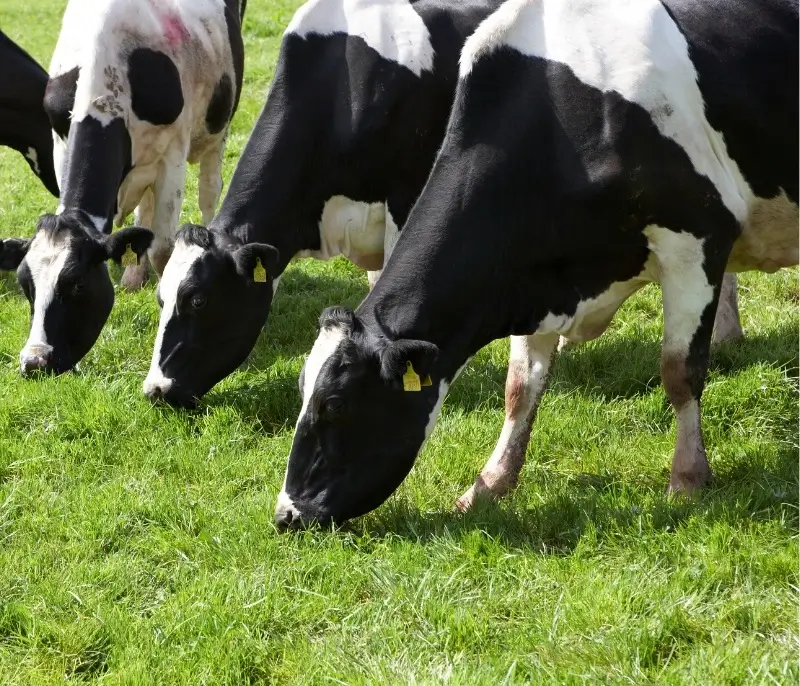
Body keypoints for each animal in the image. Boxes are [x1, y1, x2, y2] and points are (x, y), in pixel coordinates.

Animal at [274, 0, 792, 528]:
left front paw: (687, 480)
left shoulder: (697, 240)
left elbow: (679, 372)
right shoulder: (528, 275)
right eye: (302, 390)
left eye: (335, 403)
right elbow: (520, 388)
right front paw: (488, 486)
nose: (287, 514)